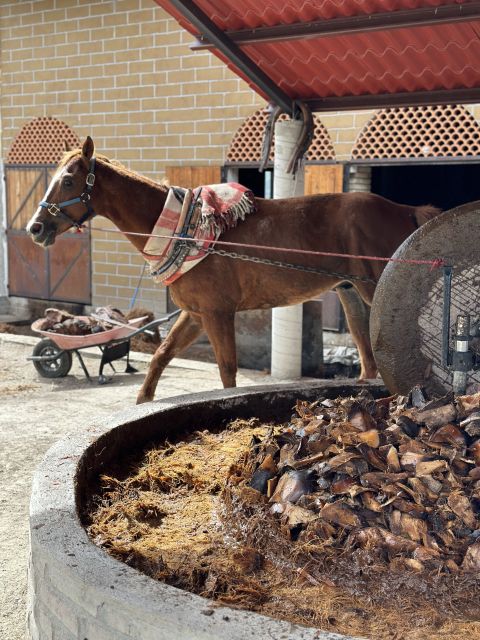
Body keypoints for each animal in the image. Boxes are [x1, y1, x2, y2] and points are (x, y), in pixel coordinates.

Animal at [25, 138, 438, 402]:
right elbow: (160, 358)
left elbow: (226, 371)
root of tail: (405, 210)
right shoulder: (196, 314)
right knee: (366, 357)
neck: (185, 229)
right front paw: (142, 402)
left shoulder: (217, 313)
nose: (35, 228)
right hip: (352, 293)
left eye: (68, 180)